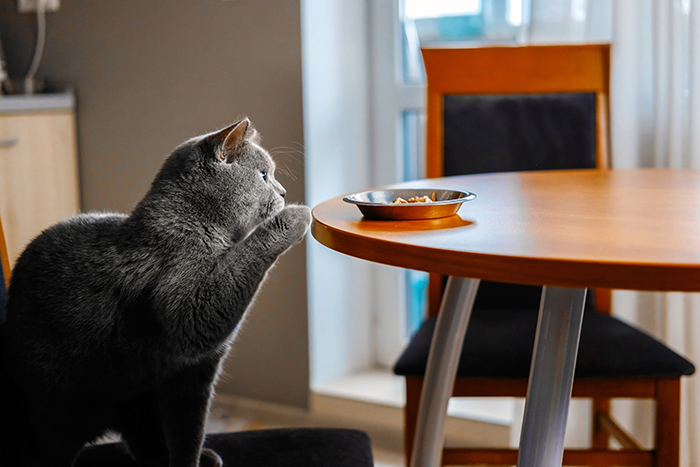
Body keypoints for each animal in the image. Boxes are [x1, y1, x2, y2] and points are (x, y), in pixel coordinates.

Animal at [0, 119, 312, 467]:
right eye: (264, 175)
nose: (284, 192)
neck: (201, 227)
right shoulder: (188, 308)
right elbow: (223, 284)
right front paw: (297, 215)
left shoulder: (196, 372)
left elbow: (189, 430)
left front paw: (192, 459)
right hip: (60, 408)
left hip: (138, 398)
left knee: (147, 440)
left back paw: (203, 456)